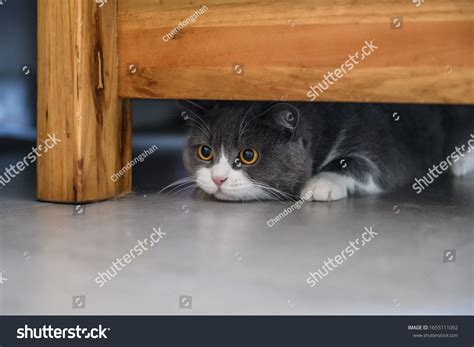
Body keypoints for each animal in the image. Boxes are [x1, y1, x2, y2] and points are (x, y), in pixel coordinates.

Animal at [179, 100, 474, 203]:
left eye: (248, 155)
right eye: (205, 152)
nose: (217, 178)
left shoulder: (388, 149)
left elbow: (365, 164)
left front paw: (321, 183)